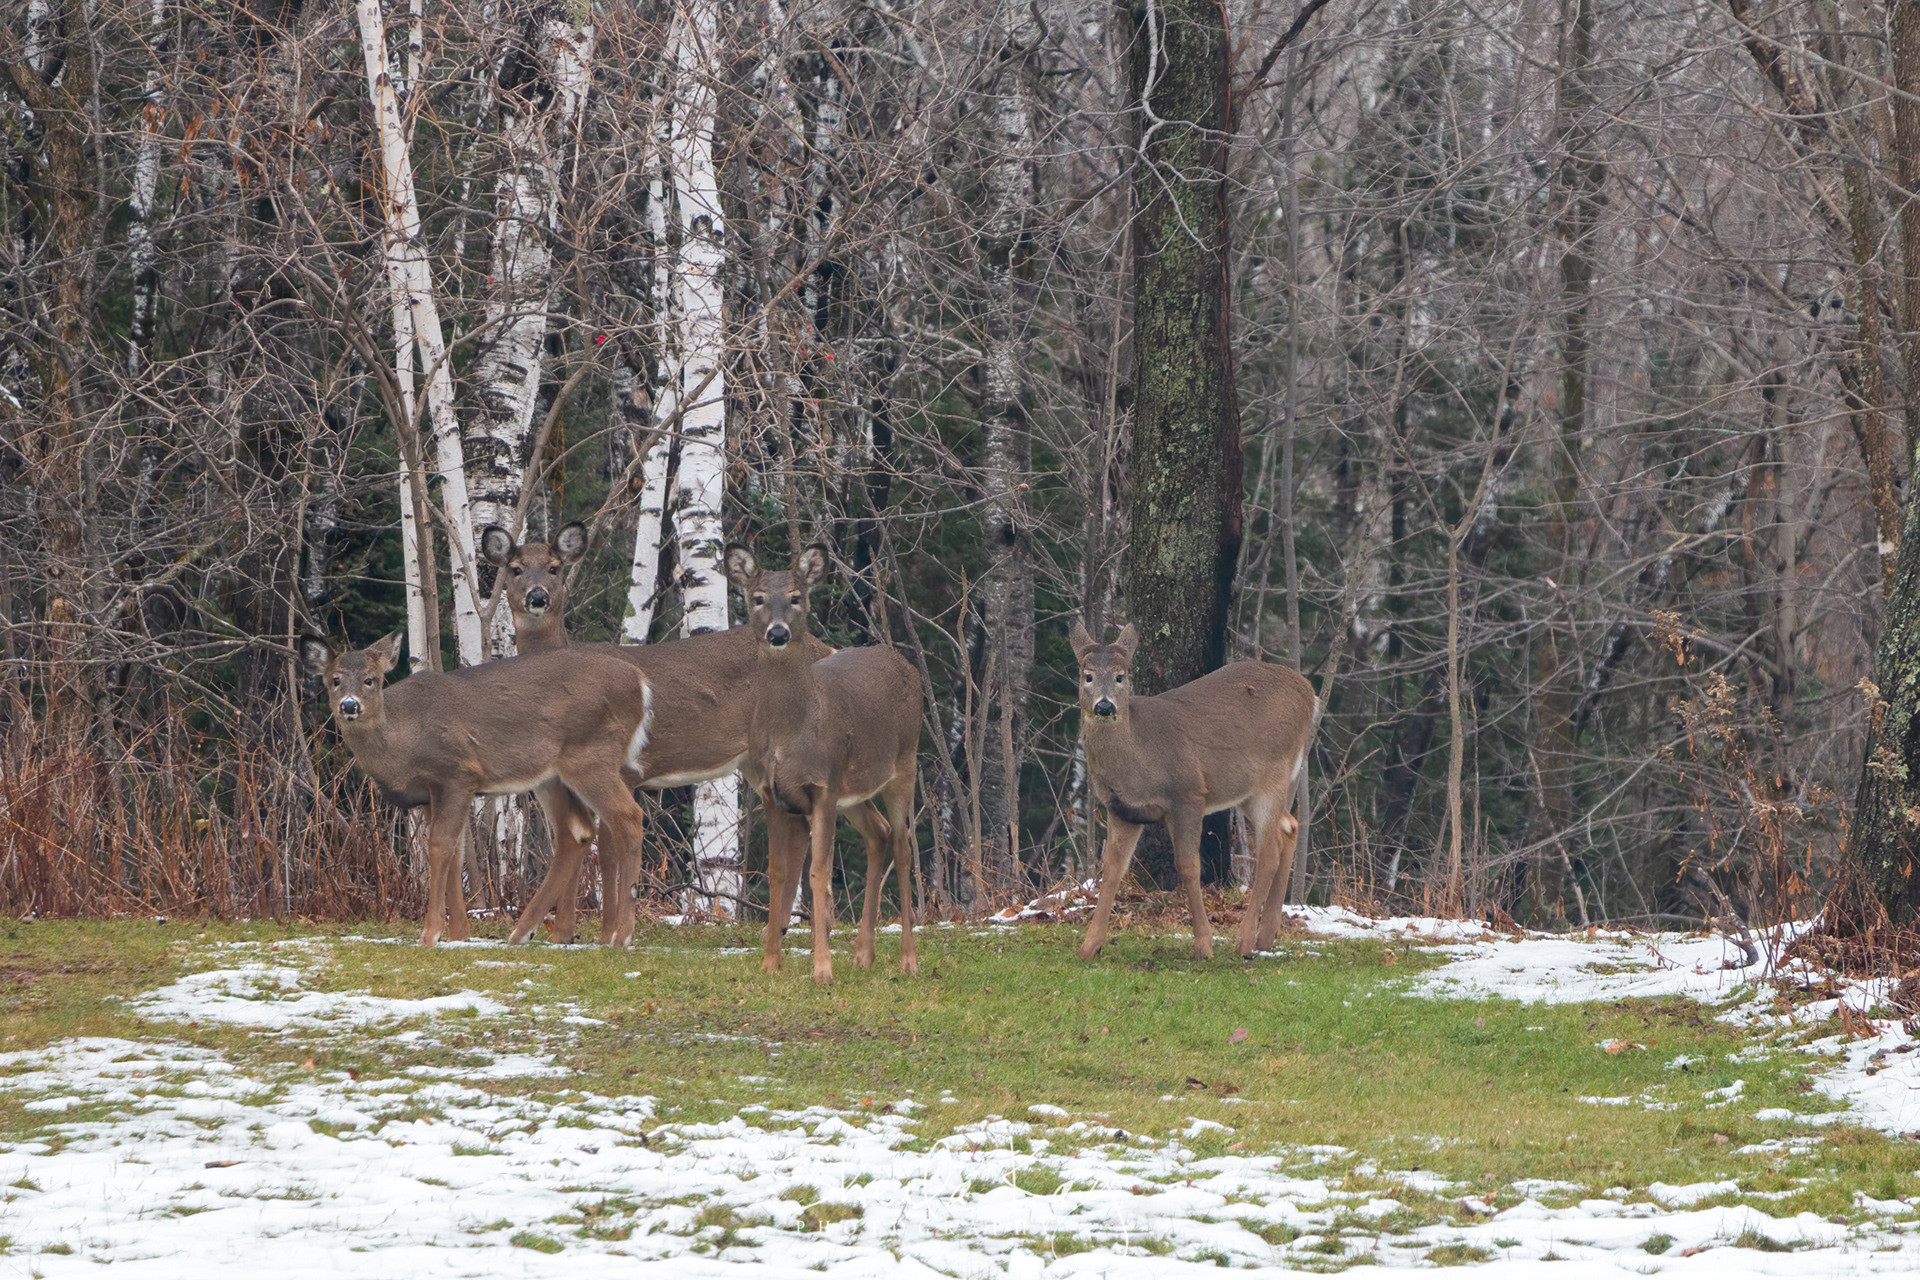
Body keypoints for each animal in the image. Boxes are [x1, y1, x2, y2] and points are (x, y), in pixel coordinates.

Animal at [304, 630, 653, 947]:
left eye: (371, 680)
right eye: (334, 680)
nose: (350, 706)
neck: (403, 743)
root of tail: (640, 682)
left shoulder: (456, 773)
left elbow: (439, 846)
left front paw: (430, 933)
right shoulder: (432, 793)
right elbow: (455, 855)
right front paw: (459, 934)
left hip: (592, 755)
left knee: (628, 816)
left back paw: (621, 935)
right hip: (551, 775)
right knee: (578, 831)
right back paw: (523, 932)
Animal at [478, 524, 888, 945]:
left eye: (555, 567)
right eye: (515, 568)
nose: (537, 597)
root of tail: (829, 648)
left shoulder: (624, 771)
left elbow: (606, 848)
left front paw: (605, 933)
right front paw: (571, 934)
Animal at [724, 544, 921, 983]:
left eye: (796, 597)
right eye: (758, 598)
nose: (778, 633)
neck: (790, 735)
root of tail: (905, 664)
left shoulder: (823, 787)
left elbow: (818, 873)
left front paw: (822, 969)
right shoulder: (773, 794)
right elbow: (779, 872)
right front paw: (770, 962)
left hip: (904, 763)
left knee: (903, 846)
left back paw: (908, 960)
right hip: (855, 791)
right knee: (879, 834)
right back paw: (864, 954)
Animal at [1070, 620, 1320, 961]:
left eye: (1121, 676)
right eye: (1088, 675)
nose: (1105, 705)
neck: (1138, 759)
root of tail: (1311, 694)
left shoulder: (1187, 793)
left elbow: (1188, 867)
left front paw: (1203, 944)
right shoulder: (1122, 808)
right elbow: (1112, 869)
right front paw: (1089, 945)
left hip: (1274, 775)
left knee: (1268, 852)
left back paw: (1244, 941)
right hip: (1249, 789)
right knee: (1290, 827)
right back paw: (1266, 937)